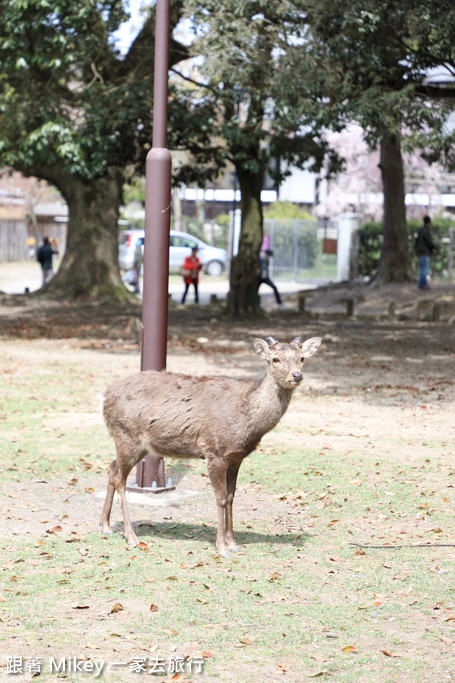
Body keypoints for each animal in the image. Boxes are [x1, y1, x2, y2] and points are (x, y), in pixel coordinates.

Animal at [100, 336, 320, 556]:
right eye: (275, 359)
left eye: (302, 358)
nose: (297, 375)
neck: (248, 420)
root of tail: (104, 396)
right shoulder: (215, 451)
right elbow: (221, 498)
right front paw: (222, 547)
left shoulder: (236, 457)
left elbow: (231, 496)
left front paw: (233, 543)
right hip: (127, 436)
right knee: (120, 478)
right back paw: (131, 536)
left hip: (137, 445)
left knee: (112, 468)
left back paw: (106, 526)